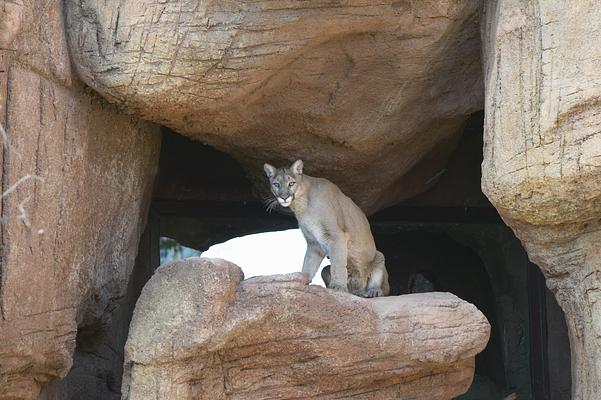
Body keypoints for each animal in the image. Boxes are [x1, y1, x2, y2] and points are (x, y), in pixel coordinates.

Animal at [262, 159, 390, 296]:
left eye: (291, 183)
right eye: (276, 184)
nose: (284, 197)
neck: (302, 205)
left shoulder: (337, 236)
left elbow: (338, 264)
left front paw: (338, 287)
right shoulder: (314, 243)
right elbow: (308, 264)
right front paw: (301, 281)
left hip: (380, 256)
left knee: (383, 288)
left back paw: (373, 291)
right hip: (325, 269)